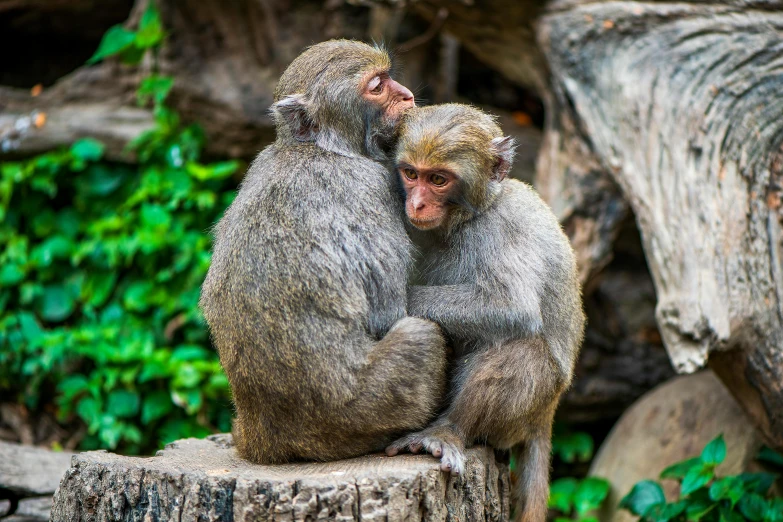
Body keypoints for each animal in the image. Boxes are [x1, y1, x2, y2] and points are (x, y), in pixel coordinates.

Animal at [201, 41, 448, 464]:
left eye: (387, 78)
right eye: (377, 86)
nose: (407, 96)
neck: (320, 147)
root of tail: (270, 441)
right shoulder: (373, 187)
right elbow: (388, 312)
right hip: (364, 414)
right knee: (420, 335)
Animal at [388, 102, 584, 520]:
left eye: (438, 179)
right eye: (411, 174)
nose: (416, 204)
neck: (471, 215)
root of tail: (547, 414)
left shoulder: (498, 230)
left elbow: (511, 307)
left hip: (525, 410)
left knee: (523, 348)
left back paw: (447, 431)